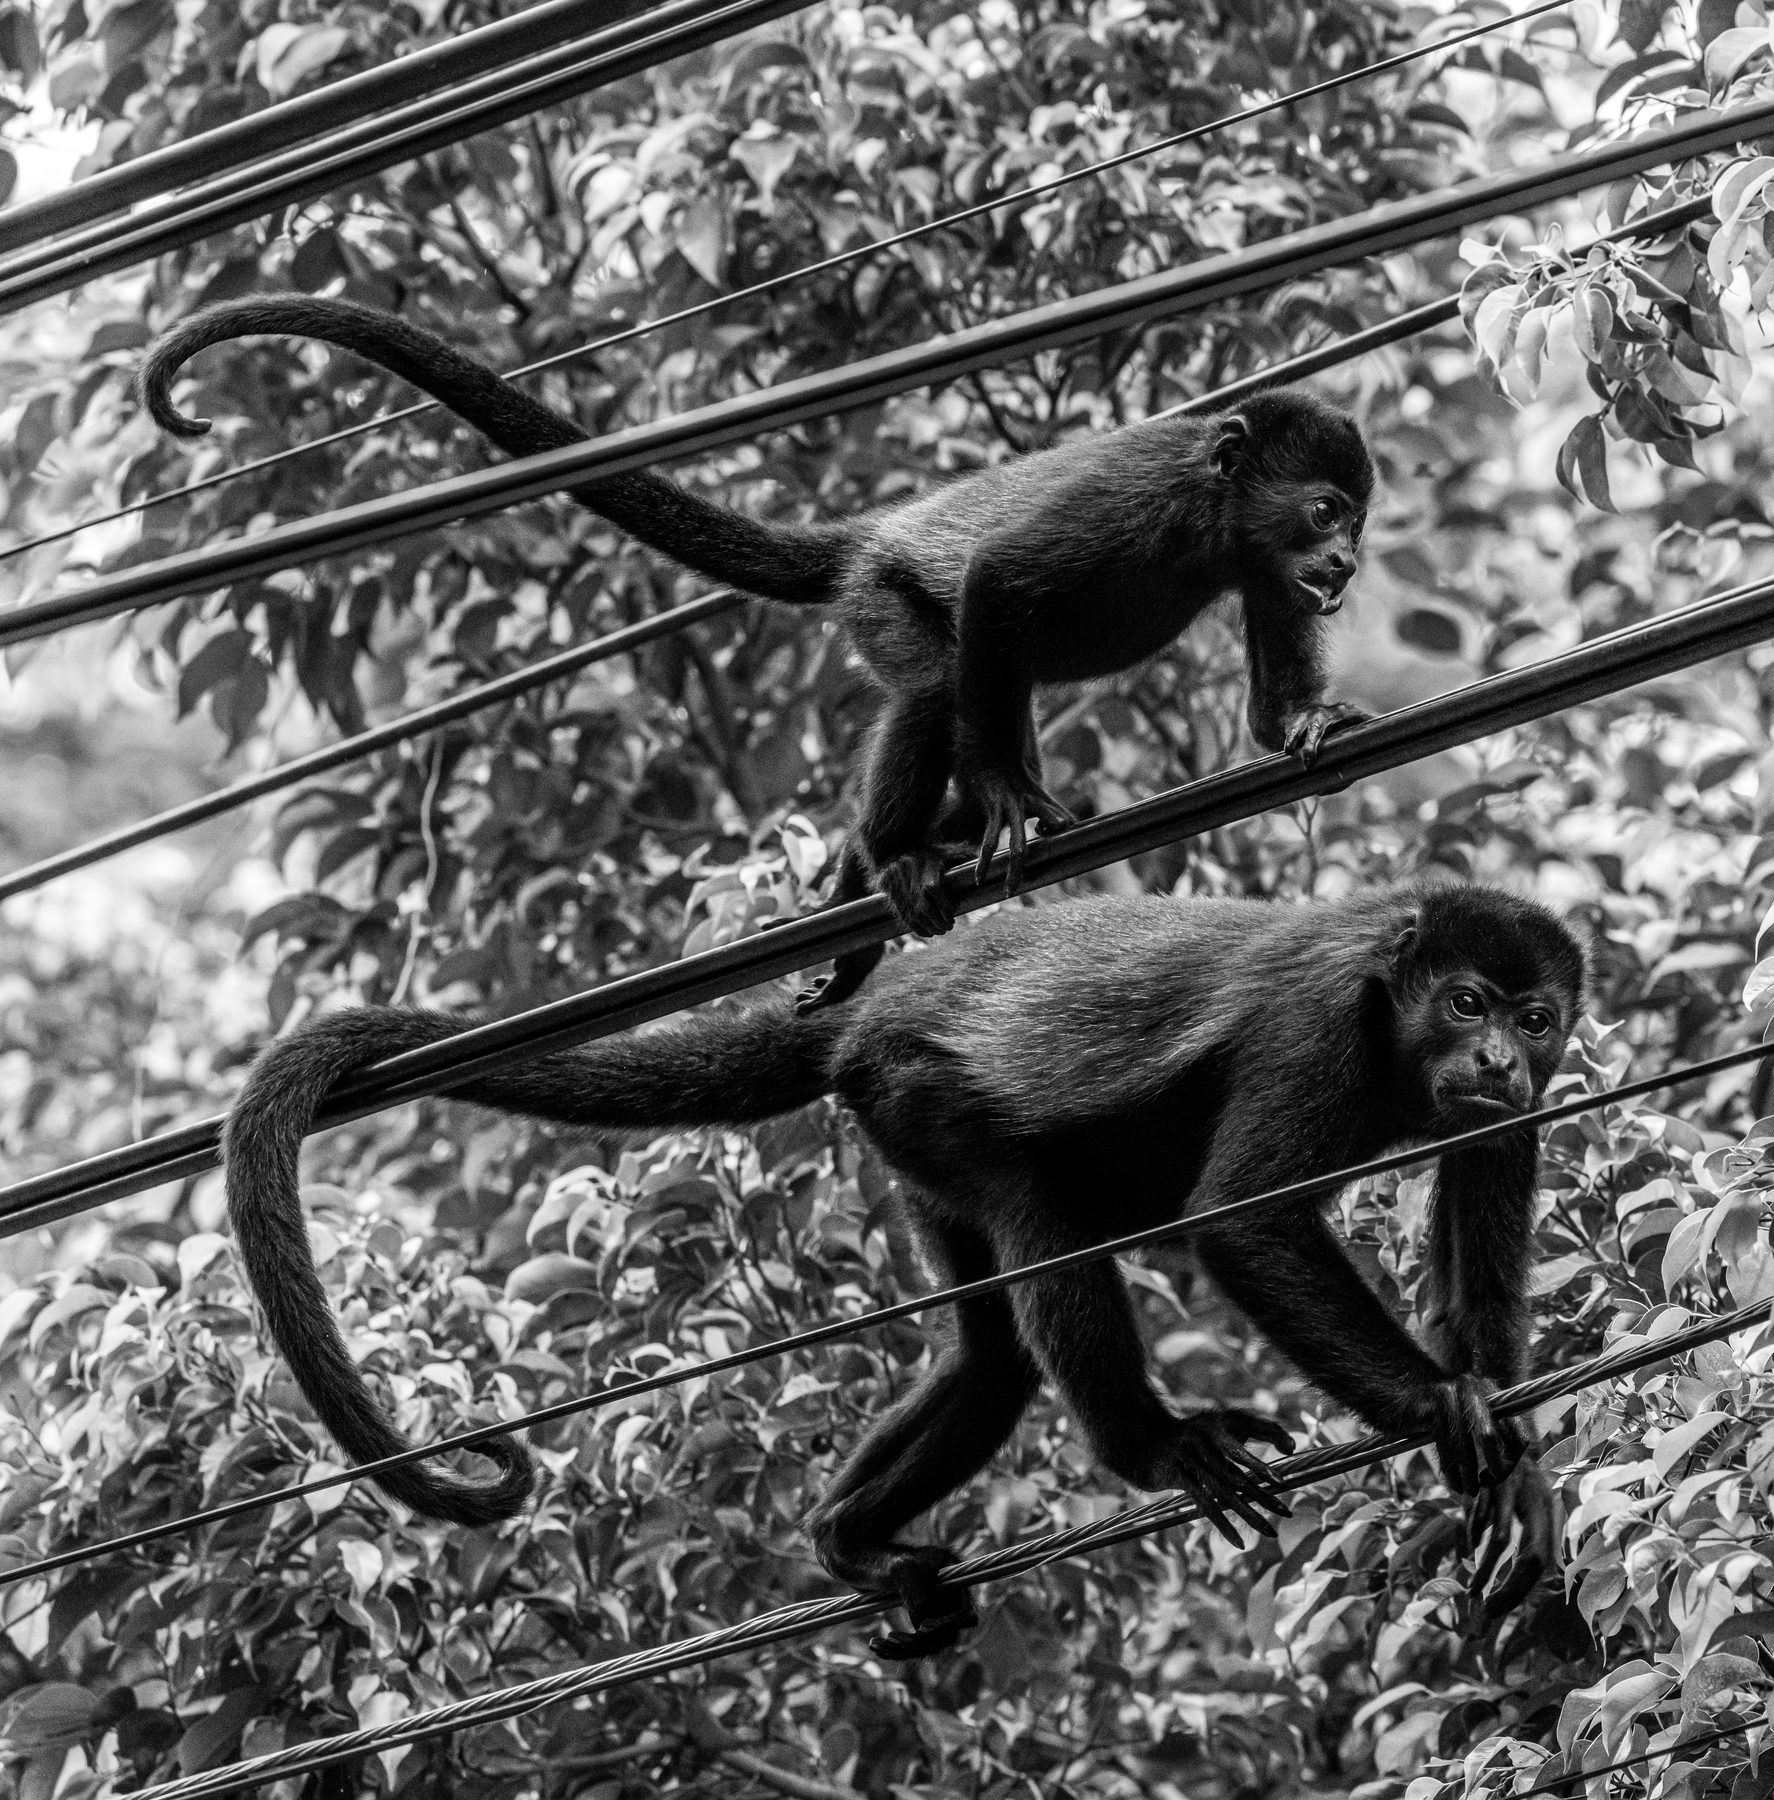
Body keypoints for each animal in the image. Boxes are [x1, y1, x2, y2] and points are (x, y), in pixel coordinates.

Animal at [140, 297, 1374, 1010]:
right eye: (1325, 510)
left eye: (1358, 521)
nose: (1349, 563)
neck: (1212, 515)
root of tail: (867, 539)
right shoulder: (1136, 503)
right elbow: (998, 579)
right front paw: (1006, 801)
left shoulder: (1254, 564)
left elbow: (1271, 696)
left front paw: (1305, 725)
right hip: (884, 600)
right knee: (939, 680)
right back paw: (895, 859)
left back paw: (863, 890)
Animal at [222, 881, 1583, 1657]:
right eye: (1466, 1002)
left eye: (1536, 1019)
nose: (1500, 1060)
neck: (1397, 1032)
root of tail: (863, 1015)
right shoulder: (1318, 1024)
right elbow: (1242, 1223)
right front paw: (1444, 1409)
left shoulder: (1510, 1110)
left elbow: (1472, 1289)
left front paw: (1513, 1481)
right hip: (926, 1098)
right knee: (1043, 1230)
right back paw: (1153, 1449)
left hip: (908, 1146)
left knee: (987, 1361)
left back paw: (849, 1540)